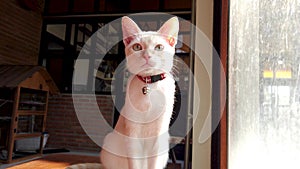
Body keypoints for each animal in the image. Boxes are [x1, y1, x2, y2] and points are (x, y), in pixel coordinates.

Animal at [101, 15, 178, 169]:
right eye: (137, 47)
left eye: (159, 47)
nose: (147, 56)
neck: (149, 86)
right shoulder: (133, 135)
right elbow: (135, 163)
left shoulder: (158, 134)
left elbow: (153, 163)